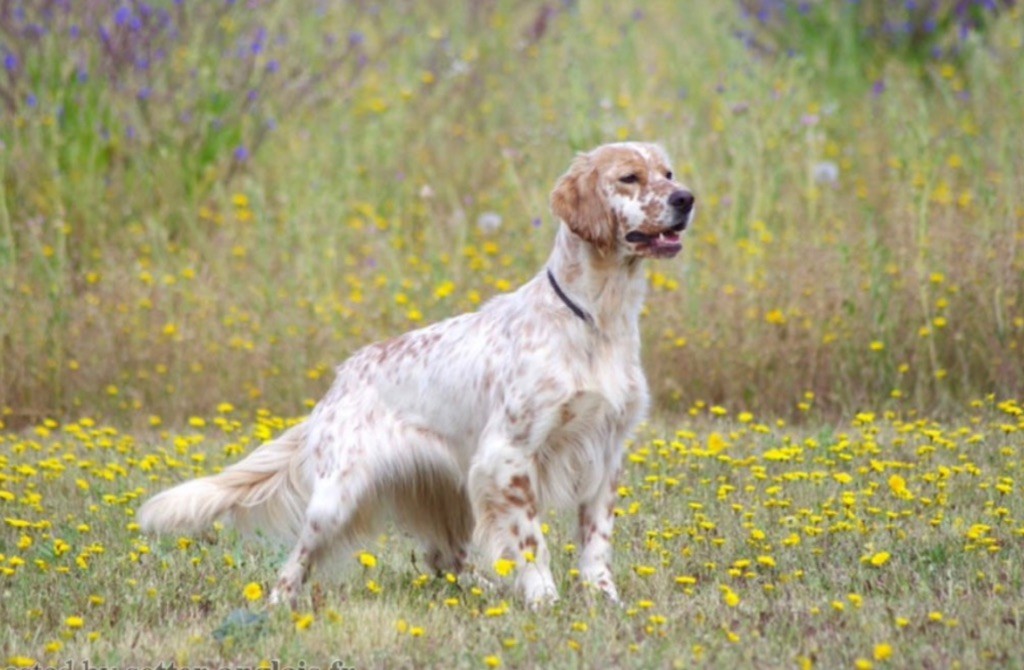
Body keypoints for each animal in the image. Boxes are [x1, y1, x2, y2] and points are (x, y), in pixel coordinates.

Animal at [138, 141, 696, 610]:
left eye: (668, 173)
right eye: (629, 177)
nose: (686, 198)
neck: (596, 320)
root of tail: (341, 380)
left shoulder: (605, 451)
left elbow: (596, 544)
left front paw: (605, 601)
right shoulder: (507, 456)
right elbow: (532, 542)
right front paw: (544, 600)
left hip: (446, 493)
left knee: (445, 559)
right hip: (336, 499)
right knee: (294, 563)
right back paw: (277, 608)